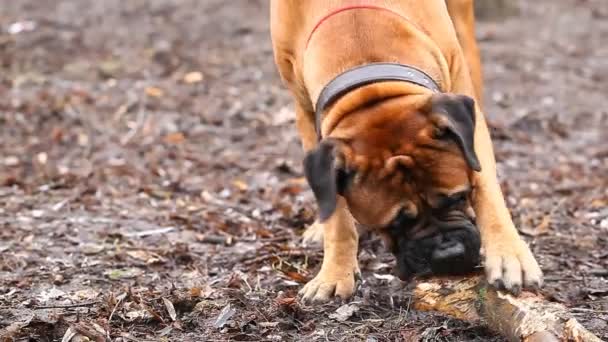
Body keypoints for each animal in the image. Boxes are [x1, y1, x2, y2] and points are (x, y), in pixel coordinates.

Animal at [270, 0, 540, 302]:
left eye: (458, 198)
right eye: (394, 225)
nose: (448, 255)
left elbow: (485, 183)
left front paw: (508, 253)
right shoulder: (308, 114)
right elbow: (336, 211)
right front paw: (335, 272)